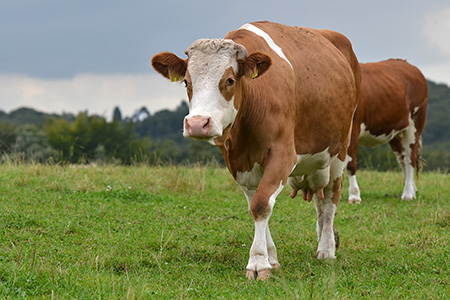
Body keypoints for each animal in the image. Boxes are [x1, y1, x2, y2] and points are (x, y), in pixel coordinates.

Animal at [153, 21, 360, 282]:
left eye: (230, 80)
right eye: (187, 82)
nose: (198, 124)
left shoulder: (283, 156)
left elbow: (261, 205)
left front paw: (258, 263)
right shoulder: (239, 164)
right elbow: (255, 205)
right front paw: (271, 258)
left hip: (339, 152)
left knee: (331, 199)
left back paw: (326, 248)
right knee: (320, 203)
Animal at [346, 59, 428, 202]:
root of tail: (410, 65)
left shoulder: (353, 129)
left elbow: (350, 163)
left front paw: (354, 196)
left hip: (415, 122)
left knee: (410, 157)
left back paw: (407, 194)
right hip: (396, 131)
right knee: (402, 158)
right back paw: (413, 189)